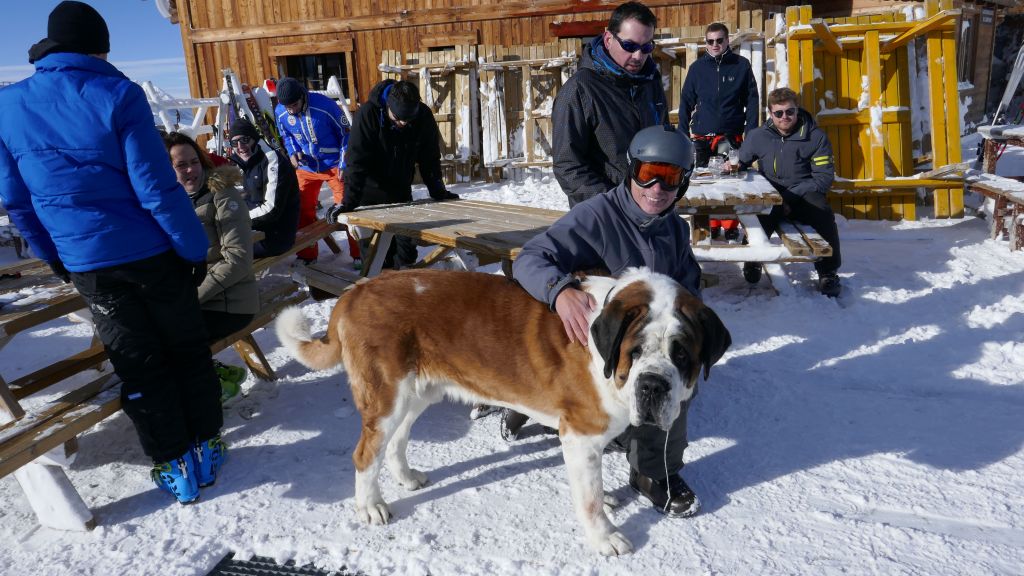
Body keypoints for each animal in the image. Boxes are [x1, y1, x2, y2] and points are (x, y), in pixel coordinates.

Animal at [276, 266, 733, 553]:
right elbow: (587, 497)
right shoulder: (581, 432)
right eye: (635, 352)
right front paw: (605, 538)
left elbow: (592, 485)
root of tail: (354, 292)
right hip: (387, 395)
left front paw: (605, 502)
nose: (653, 384)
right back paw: (370, 506)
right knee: (365, 452)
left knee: (396, 440)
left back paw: (407, 477)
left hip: (417, 392)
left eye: (681, 354)